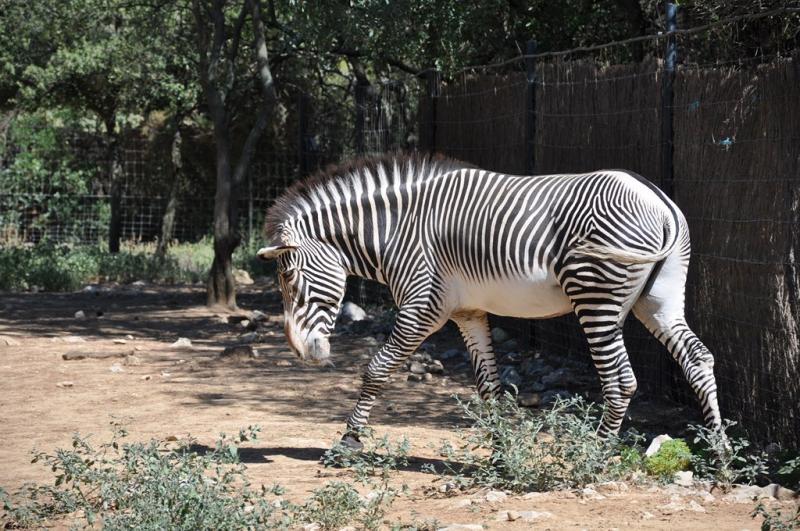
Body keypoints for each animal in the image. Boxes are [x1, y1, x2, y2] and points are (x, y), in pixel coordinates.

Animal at [258, 153, 723, 449]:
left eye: (289, 278)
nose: (303, 353)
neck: (397, 229)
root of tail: (658, 199)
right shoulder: (468, 312)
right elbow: (489, 386)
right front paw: (501, 448)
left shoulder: (423, 306)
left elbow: (376, 369)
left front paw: (349, 440)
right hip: (658, 300)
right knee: (699, 359)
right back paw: (720, 455)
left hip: (597, 298)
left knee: (621, 380)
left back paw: (597, 455)